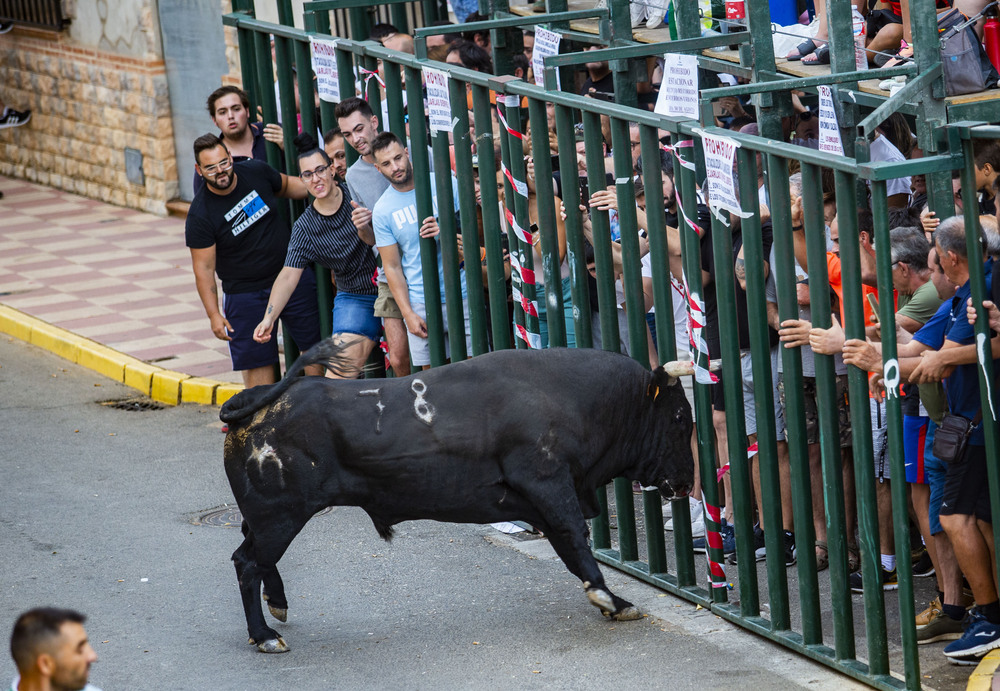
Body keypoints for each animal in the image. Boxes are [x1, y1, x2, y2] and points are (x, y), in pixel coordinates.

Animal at [220, 340, 692, 656]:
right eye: (679, 416)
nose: (689, 482)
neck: (573, 397)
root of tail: (257, 401)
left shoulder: (548, 499)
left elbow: (572, 548)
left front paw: (609, 601)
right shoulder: (550, 486)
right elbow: (576, 540)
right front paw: (613, 601)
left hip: (266, 518)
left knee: (254, 557)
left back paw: (278, 606)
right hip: (281, 516)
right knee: (248, 563)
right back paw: (265, 635)